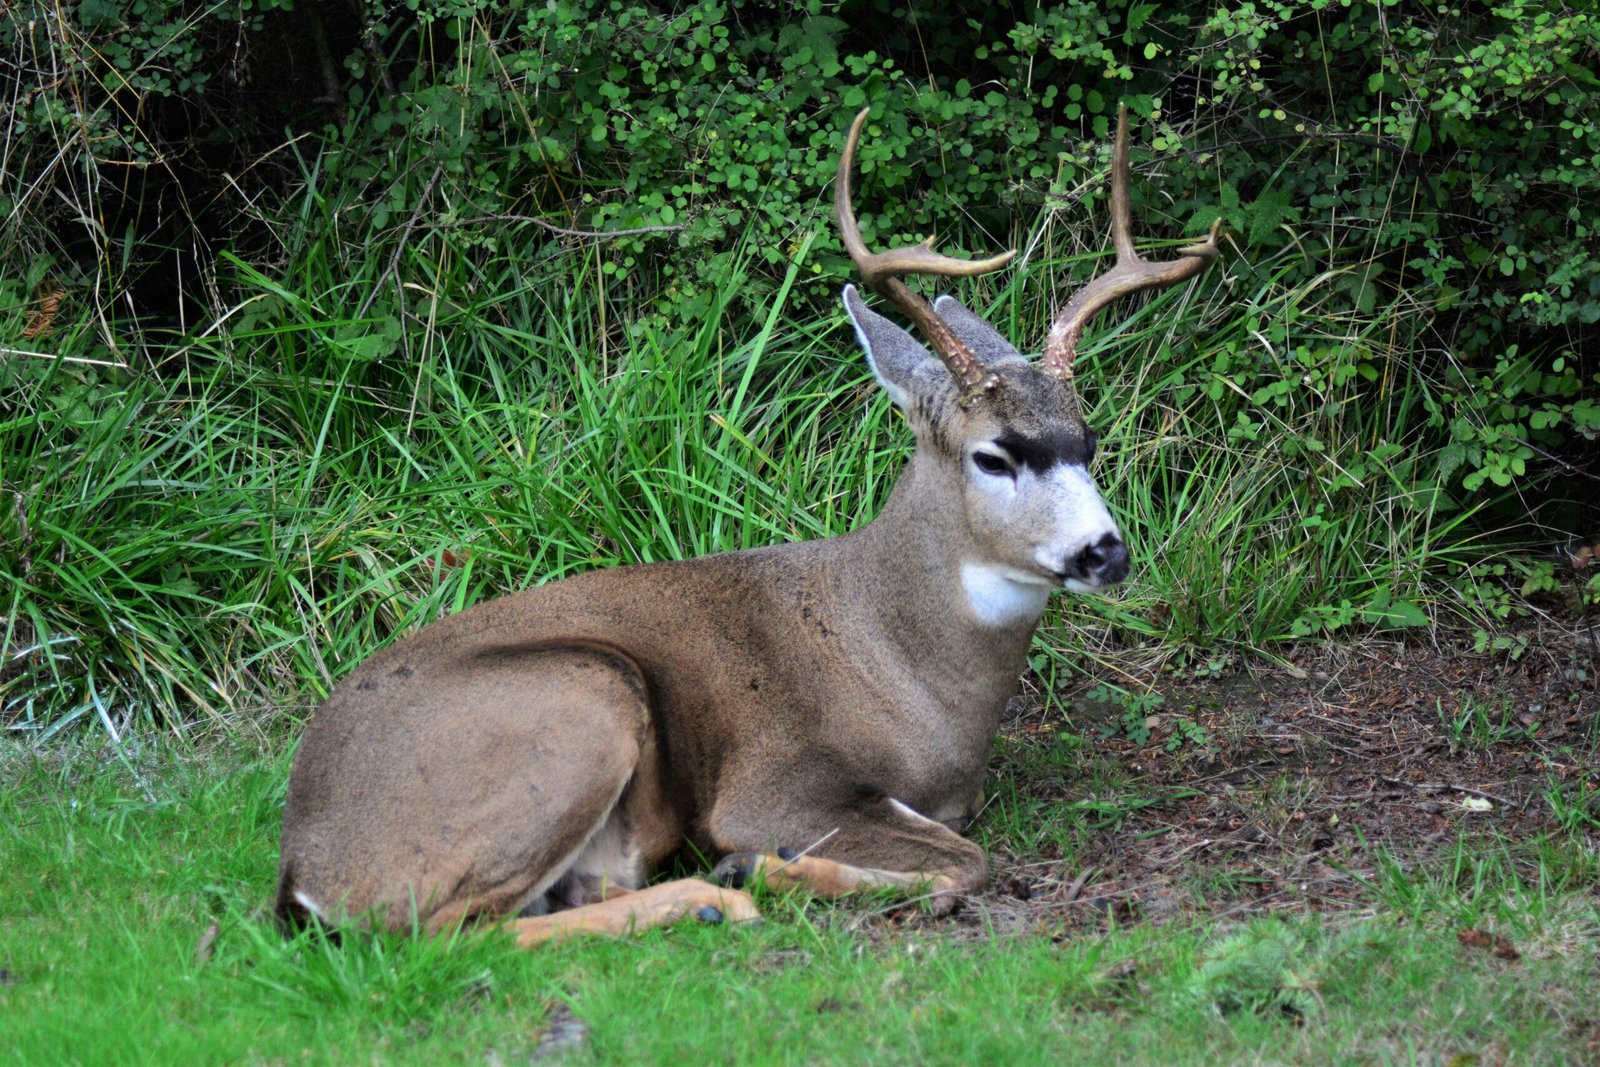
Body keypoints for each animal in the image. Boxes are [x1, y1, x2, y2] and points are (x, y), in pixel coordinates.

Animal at [278, 106, 1222, 940]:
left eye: (1088, 440)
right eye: (994, 455)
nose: (1105, 551)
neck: (903, 665)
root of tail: (304, 868)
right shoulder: (772, 782)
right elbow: (966, 859)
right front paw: (764, 866)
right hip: (583, 692)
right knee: (438, 934)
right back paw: (718, 894)